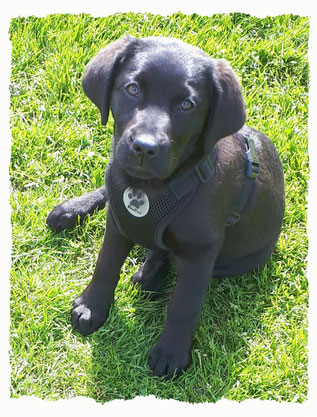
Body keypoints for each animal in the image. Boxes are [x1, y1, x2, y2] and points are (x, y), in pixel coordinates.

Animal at [46, 35, 284, 378]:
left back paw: (150, 275)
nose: (144, 148)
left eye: (187, 105)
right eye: (132, 89)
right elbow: (106, 264)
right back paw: (72, 210)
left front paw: (171, 353)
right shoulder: (118, 221)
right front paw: (93, 305)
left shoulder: (201, 252)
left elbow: (184, 304)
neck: (151, 189)